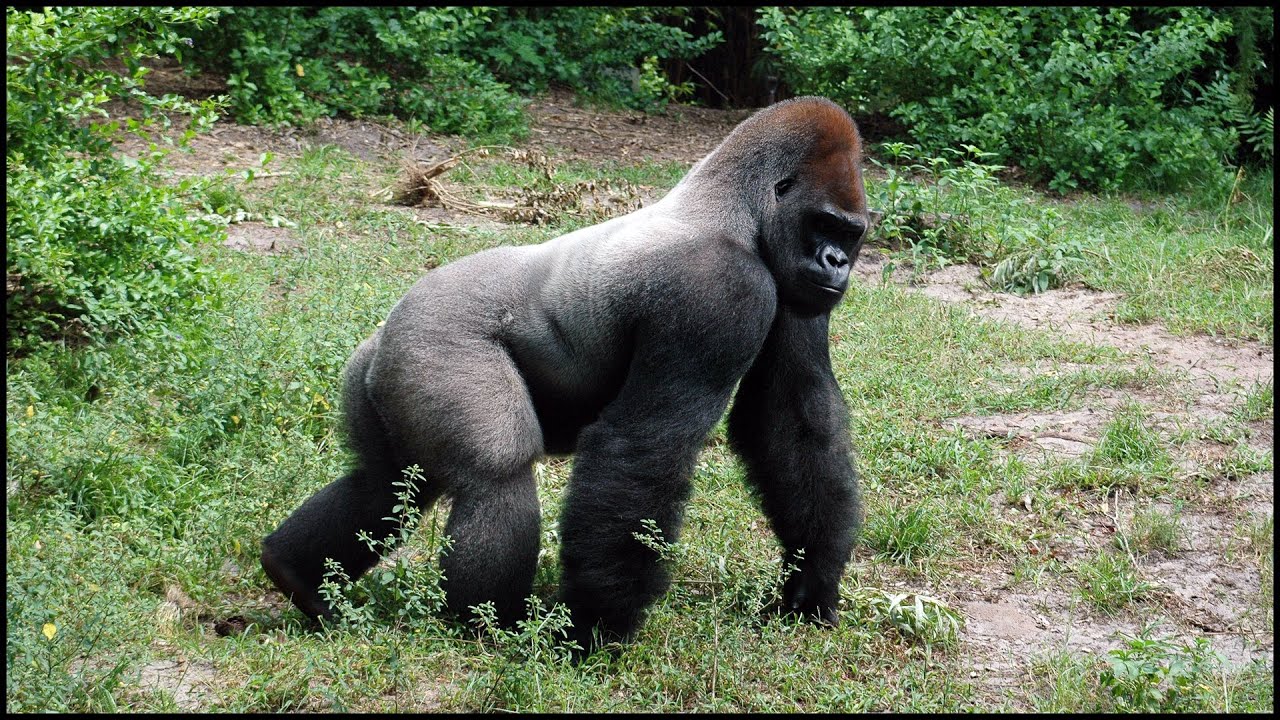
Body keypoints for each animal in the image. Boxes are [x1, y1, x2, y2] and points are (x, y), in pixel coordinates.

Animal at [261, 96, 868, 652]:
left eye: (852, 233)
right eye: (823, 224)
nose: (837, 262)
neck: (736, 208)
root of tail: (386, 329)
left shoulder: (792, 292)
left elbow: (792, 420)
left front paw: (811, 583)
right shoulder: (718, 290)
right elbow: (644, 445)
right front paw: (594, 625)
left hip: (383, 373)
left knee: (385, 481)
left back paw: (295, 574)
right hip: (433, 343)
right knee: (495, 472)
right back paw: (491, 626)